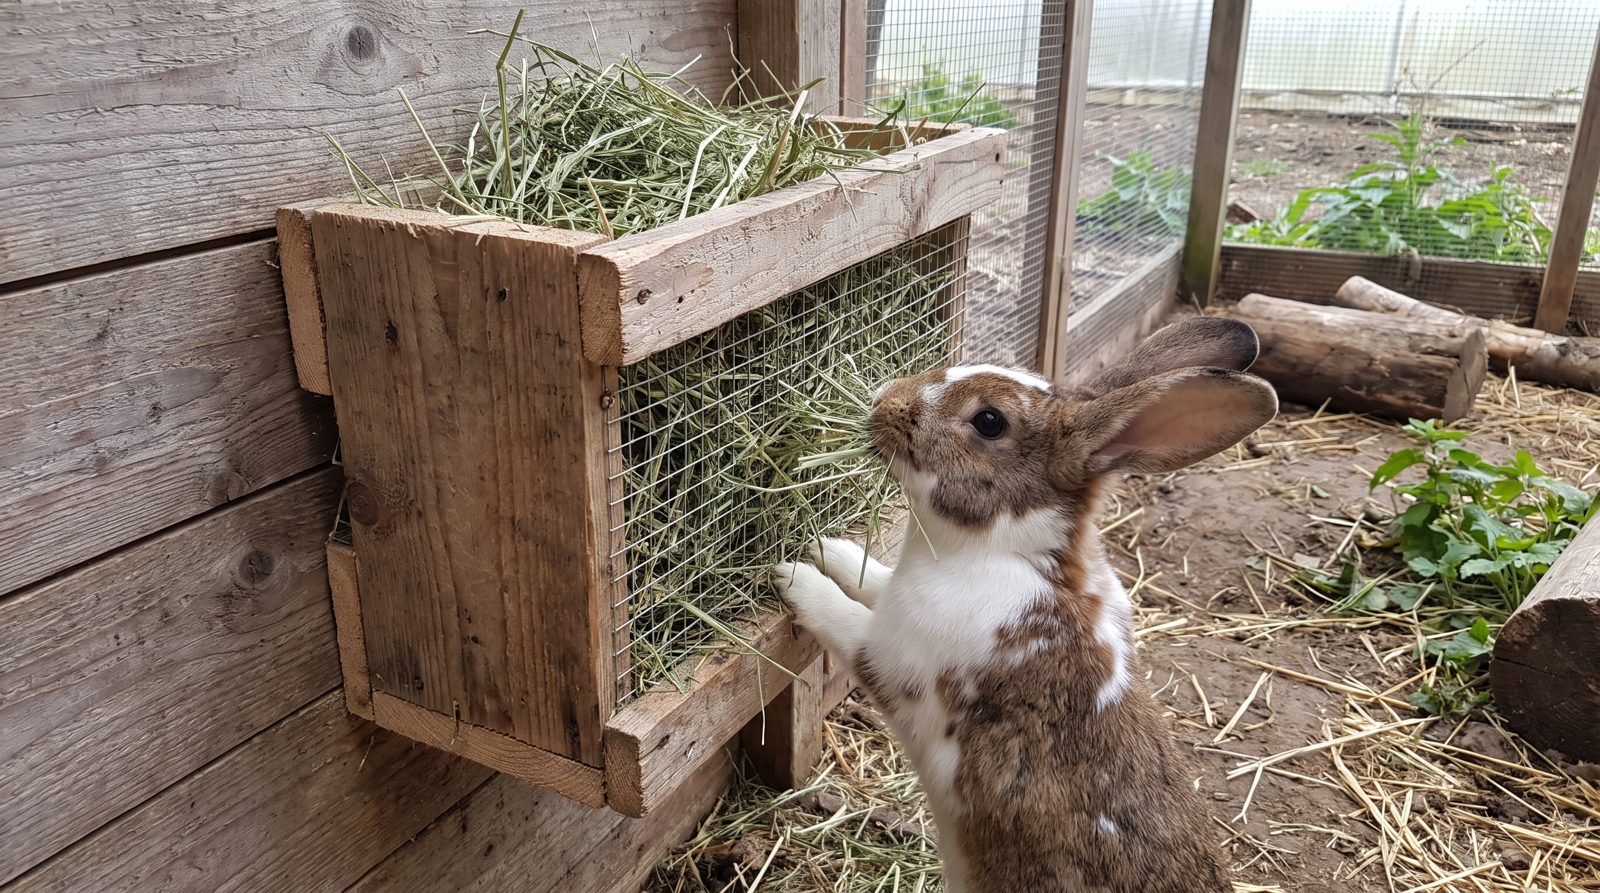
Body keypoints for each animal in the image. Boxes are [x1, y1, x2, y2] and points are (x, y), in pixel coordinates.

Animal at [772, 317, 1277, 893]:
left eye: (990, 421)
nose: (884, 398)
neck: (1002, 551)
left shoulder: (890, 653)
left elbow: (843, 619)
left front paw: (796, 575)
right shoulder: (892, 596)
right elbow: (871, 579)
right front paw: (830, 548)